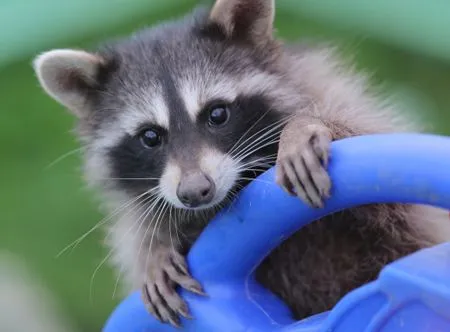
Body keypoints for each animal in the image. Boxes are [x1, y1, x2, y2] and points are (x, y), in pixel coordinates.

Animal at [32, 0, 450, 326]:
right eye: (150, 136)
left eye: (217, 114)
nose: (195, 191)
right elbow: (144, 221)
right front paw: (153, 247)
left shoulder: (327, 89)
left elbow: (381, 159)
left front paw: (304, 127)